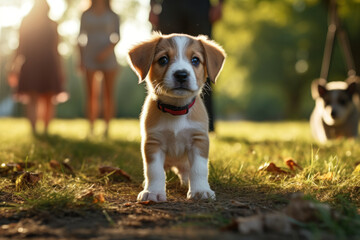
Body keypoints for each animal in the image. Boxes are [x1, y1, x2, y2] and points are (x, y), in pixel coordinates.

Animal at [127, 32, 225, 202]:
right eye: (163, 59)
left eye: (195, 60)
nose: (181, 74)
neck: (176, 110)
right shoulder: (153, 143)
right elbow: (154, 171)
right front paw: (153, 191)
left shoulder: (199, 140)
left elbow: (199, 169)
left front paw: (200, 190)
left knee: (186, 171)